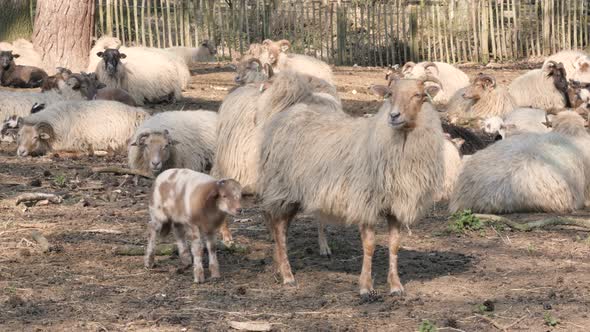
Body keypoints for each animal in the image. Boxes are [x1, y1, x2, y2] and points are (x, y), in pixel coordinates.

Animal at [256, 77, 446, 296]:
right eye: (390, 94)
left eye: (418, 95)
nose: (394, 116)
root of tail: (289, 111)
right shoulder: (365, 201)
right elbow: (369, 245)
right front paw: (365, 286)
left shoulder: (395, 205)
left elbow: (394, 245)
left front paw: (396, 286)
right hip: (283, 188)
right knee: (279, 229)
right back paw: (288, 276)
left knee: (281, 228)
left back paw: (279, 267)